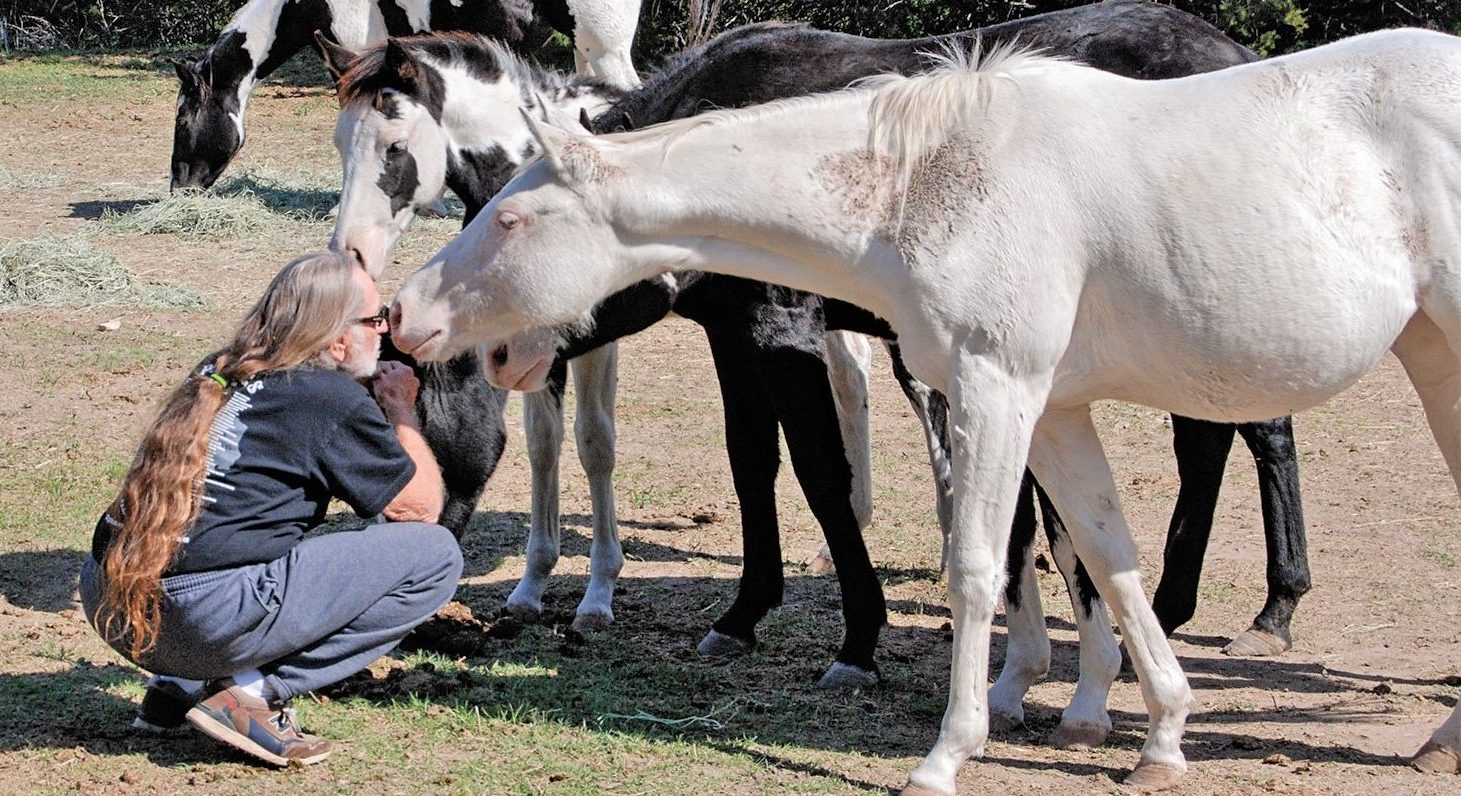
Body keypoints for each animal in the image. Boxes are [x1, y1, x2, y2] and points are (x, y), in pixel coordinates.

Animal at [385, 24, 1461, 788]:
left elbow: (976, 565)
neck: (922, 183)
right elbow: (1104, 556)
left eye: (511, 218)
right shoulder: (1052, 407)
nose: (406, 314)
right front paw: (1156, 735)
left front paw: (947, 749)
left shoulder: (993, 387)